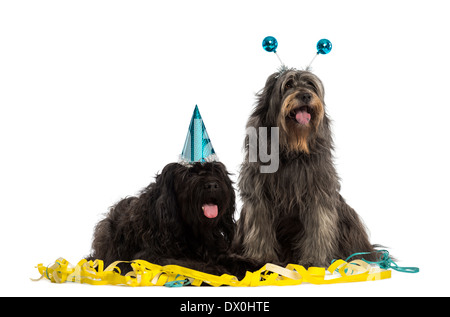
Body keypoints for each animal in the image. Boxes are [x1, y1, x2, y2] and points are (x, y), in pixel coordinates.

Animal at [89, 160, 243, 274]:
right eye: (189, 175)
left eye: (216, 172)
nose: (212, 185)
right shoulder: (149, 257)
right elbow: (186, 264)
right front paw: (216, 271)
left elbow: (235, 259)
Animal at [234, 69, 378, 266]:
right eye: (287, 84)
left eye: (311, 85)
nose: (305, 95)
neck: (291, 149)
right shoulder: (259, 195)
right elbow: (260, 227)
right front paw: (262, 258)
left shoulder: (318, 193)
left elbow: (319, 228)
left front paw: (314, 261)